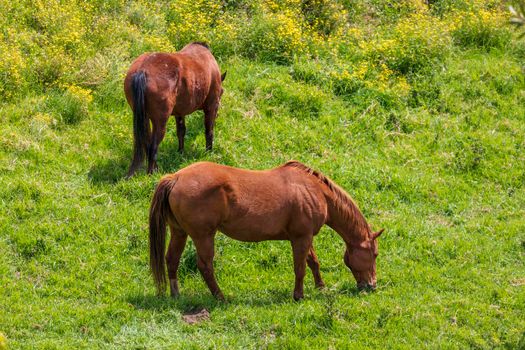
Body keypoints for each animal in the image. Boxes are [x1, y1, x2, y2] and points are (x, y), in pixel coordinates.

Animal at [127, 42, 227, 176]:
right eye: (221, 92)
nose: (218, 115)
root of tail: (143, 70)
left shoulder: (180, 113)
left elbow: (181, 131)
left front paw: (180, 152)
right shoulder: (211, 107)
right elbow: (209, 131)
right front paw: (209, 152)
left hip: (144, 119)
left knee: (147, 143)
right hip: (160, 122)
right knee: (153, 147)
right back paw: (151, 173)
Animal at [149, 161, 382, 300]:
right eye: (375, 254)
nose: (372, 286)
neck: (313, 189)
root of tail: (175, 178)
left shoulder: (304, 237)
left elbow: (313, 262)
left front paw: (321, 286)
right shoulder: (301, 238)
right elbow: (300, 268)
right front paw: (298, 295)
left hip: (179, 232)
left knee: (172, 259)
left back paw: (176, 294)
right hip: (203, 236)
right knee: (205, 266)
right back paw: (220, 297)